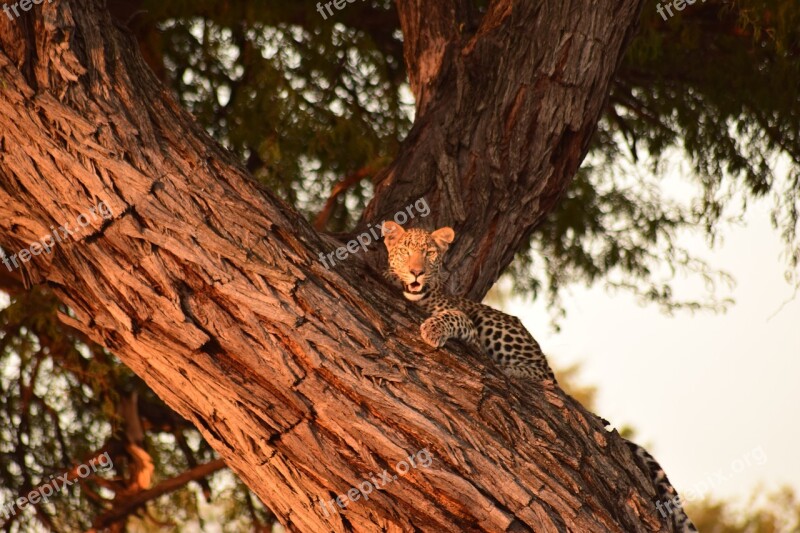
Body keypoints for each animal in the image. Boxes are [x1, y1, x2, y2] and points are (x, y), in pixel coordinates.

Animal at [382, 220, 692, 532]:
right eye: (405, 251)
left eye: (430, 253)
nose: (416, 271)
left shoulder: (469, 327)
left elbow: (453, 316)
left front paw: (433, 328)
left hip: (500, 327)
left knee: (540, 374)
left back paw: (511, 370)